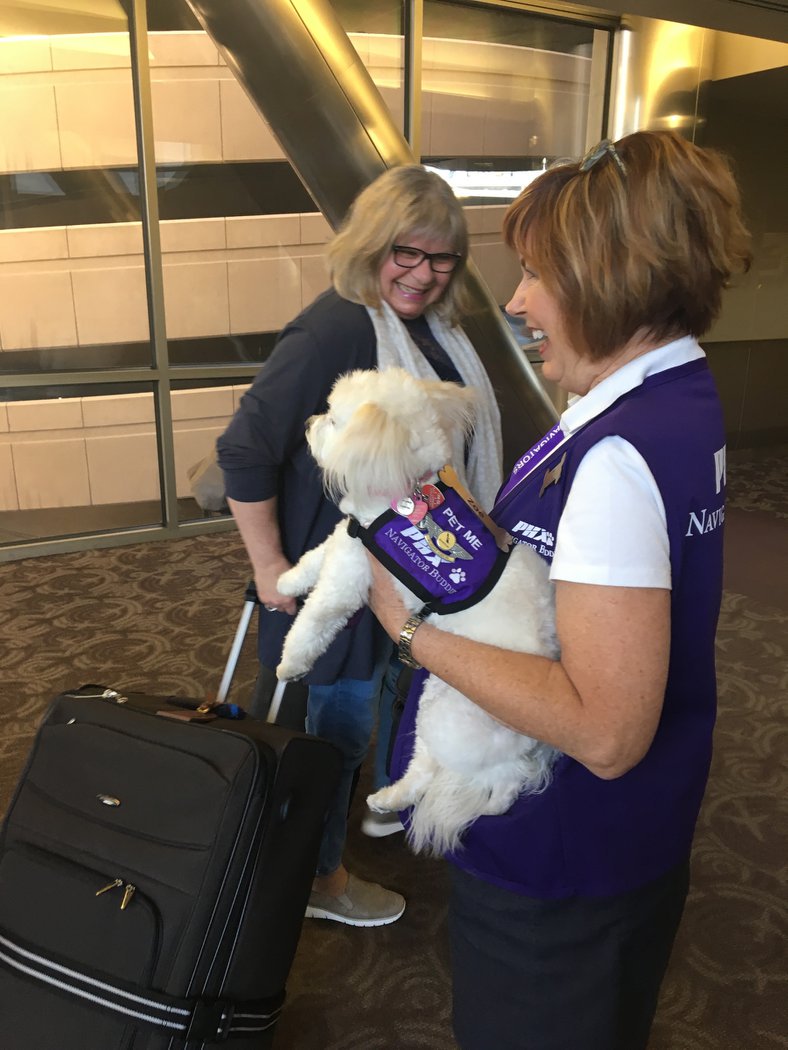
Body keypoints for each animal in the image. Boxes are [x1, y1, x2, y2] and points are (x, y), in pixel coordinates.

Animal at [277, 367, 563, 852]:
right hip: (441, 700)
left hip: (456, 715)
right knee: (445, 769)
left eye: (333, 420)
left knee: (483, 774)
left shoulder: (350, 576)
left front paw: (291, 663)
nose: (308, 423)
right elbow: (314, 558)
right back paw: (392, 798)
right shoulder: (347, 543)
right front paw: (286, 580)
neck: (404, 493)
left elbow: (315, 620)